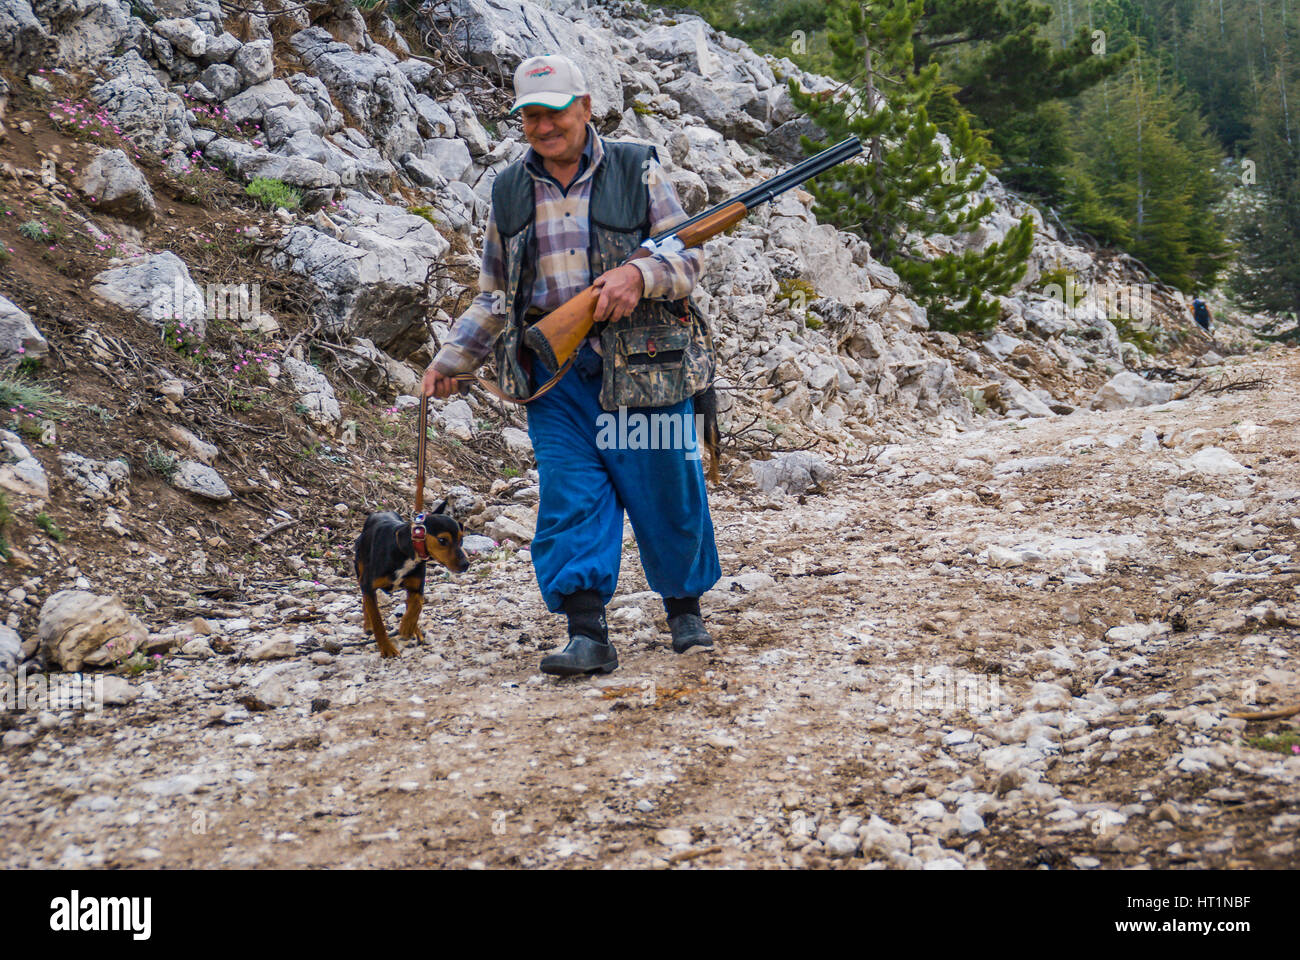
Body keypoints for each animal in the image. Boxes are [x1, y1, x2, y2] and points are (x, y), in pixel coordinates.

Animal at [353, 496, 470, 655]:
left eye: (461, 540)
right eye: (442, 540)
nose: (466, 564)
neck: (408, 552)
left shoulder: (416, 588)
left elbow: (417, 605)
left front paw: (408, 627)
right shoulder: (368, 585)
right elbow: (377, 620)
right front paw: (387, 649)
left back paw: (415, 630)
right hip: (360, 572)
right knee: (365, 601)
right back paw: (368, 625)